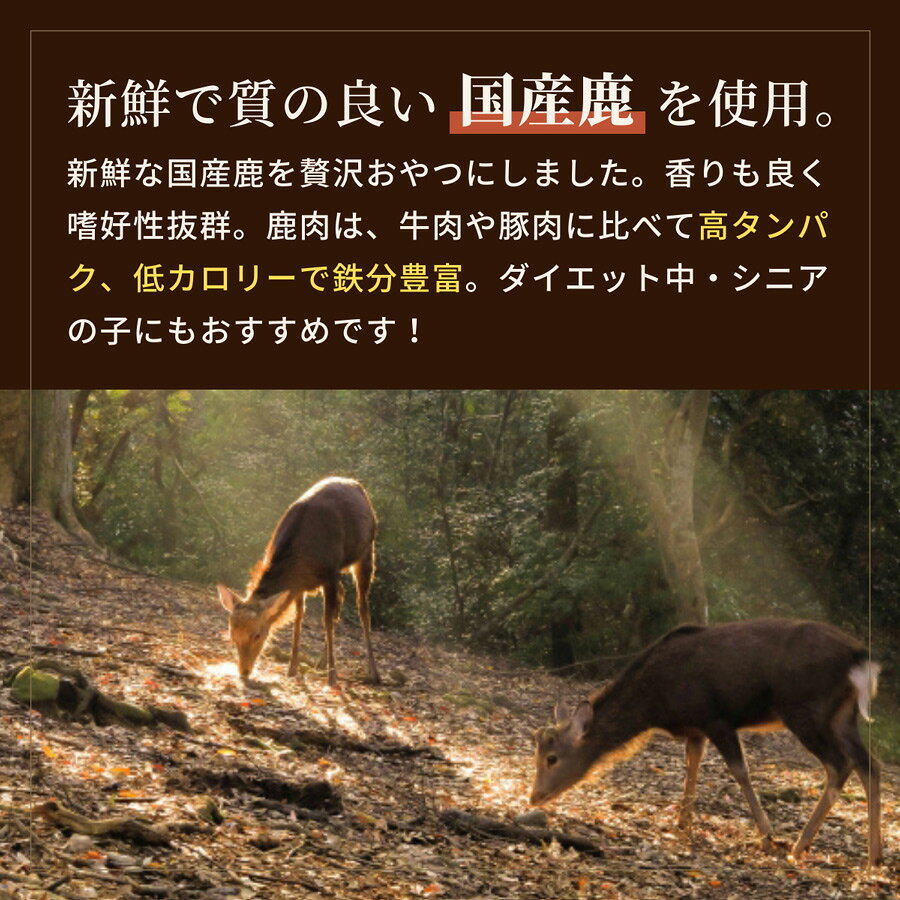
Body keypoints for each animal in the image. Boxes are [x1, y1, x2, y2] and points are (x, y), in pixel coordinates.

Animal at [217, 476, 380, 687]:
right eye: (232, 634)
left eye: (257, 634)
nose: (244, 671)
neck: (302, 559)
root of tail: (356, 484)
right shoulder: (299, 585)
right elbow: (299, 617)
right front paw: (292, 669)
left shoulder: (330, 572)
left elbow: (326, 620)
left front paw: (332, 677)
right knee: (342, 596)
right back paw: (320, 662)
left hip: (366, 551)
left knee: (362, 608)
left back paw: (373, 673)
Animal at [530, 619, 882, 867]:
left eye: (552, 757)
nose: (534, 797)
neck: (655, 704)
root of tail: (861, 659)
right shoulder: (695, 727)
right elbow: (692, 763)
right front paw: (682, 821)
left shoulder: (716, 717)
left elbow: (740, 771)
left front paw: (767, 835)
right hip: (843, 716)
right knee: (869, 763)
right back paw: (874, 856)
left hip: (806, 709)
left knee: (840, 765)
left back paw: (800, 844)